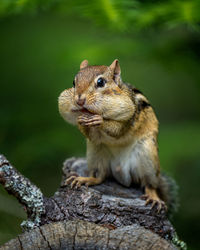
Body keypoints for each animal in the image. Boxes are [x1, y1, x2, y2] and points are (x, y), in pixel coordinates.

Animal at [58, 59, 177, 213]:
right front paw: (82, 120)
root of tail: (121, 172)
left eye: (101, 82)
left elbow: (118, 130)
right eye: (74, 82)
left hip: (147, 157)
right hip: (96, 154)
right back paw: (84, 179)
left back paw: (154, 197)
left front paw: (99, 121)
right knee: (100, 176)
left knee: (149, 184)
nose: (79, 100)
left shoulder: (130, 115)